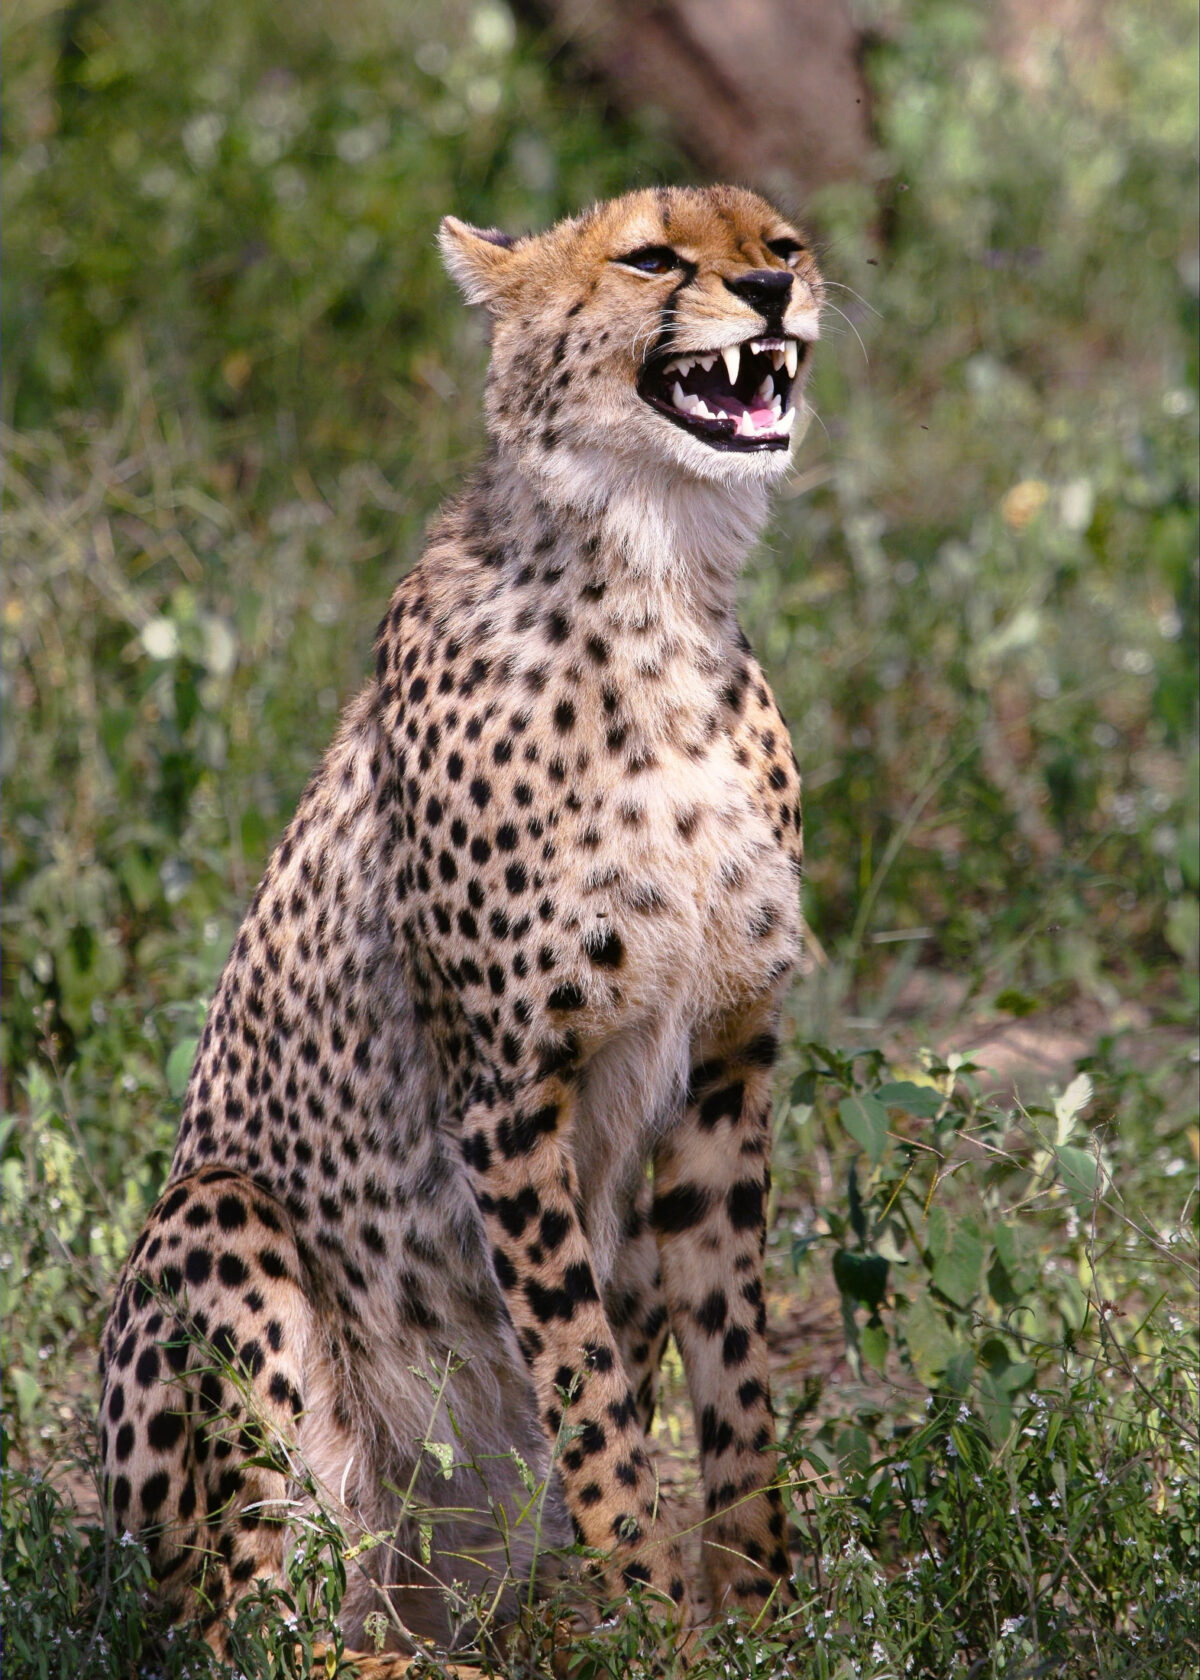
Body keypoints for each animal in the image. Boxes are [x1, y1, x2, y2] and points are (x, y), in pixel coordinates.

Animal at [97, 184, 823, 1671]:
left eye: (777, 240)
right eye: (653, 257)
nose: (780, 292)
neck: (662, 578)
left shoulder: (728, 1061)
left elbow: (734, 1369)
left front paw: (764, 1613)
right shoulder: (505, 1090)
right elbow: (590, 1394)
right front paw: (654, 1614)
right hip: (218, 1223)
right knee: (250, 1630)